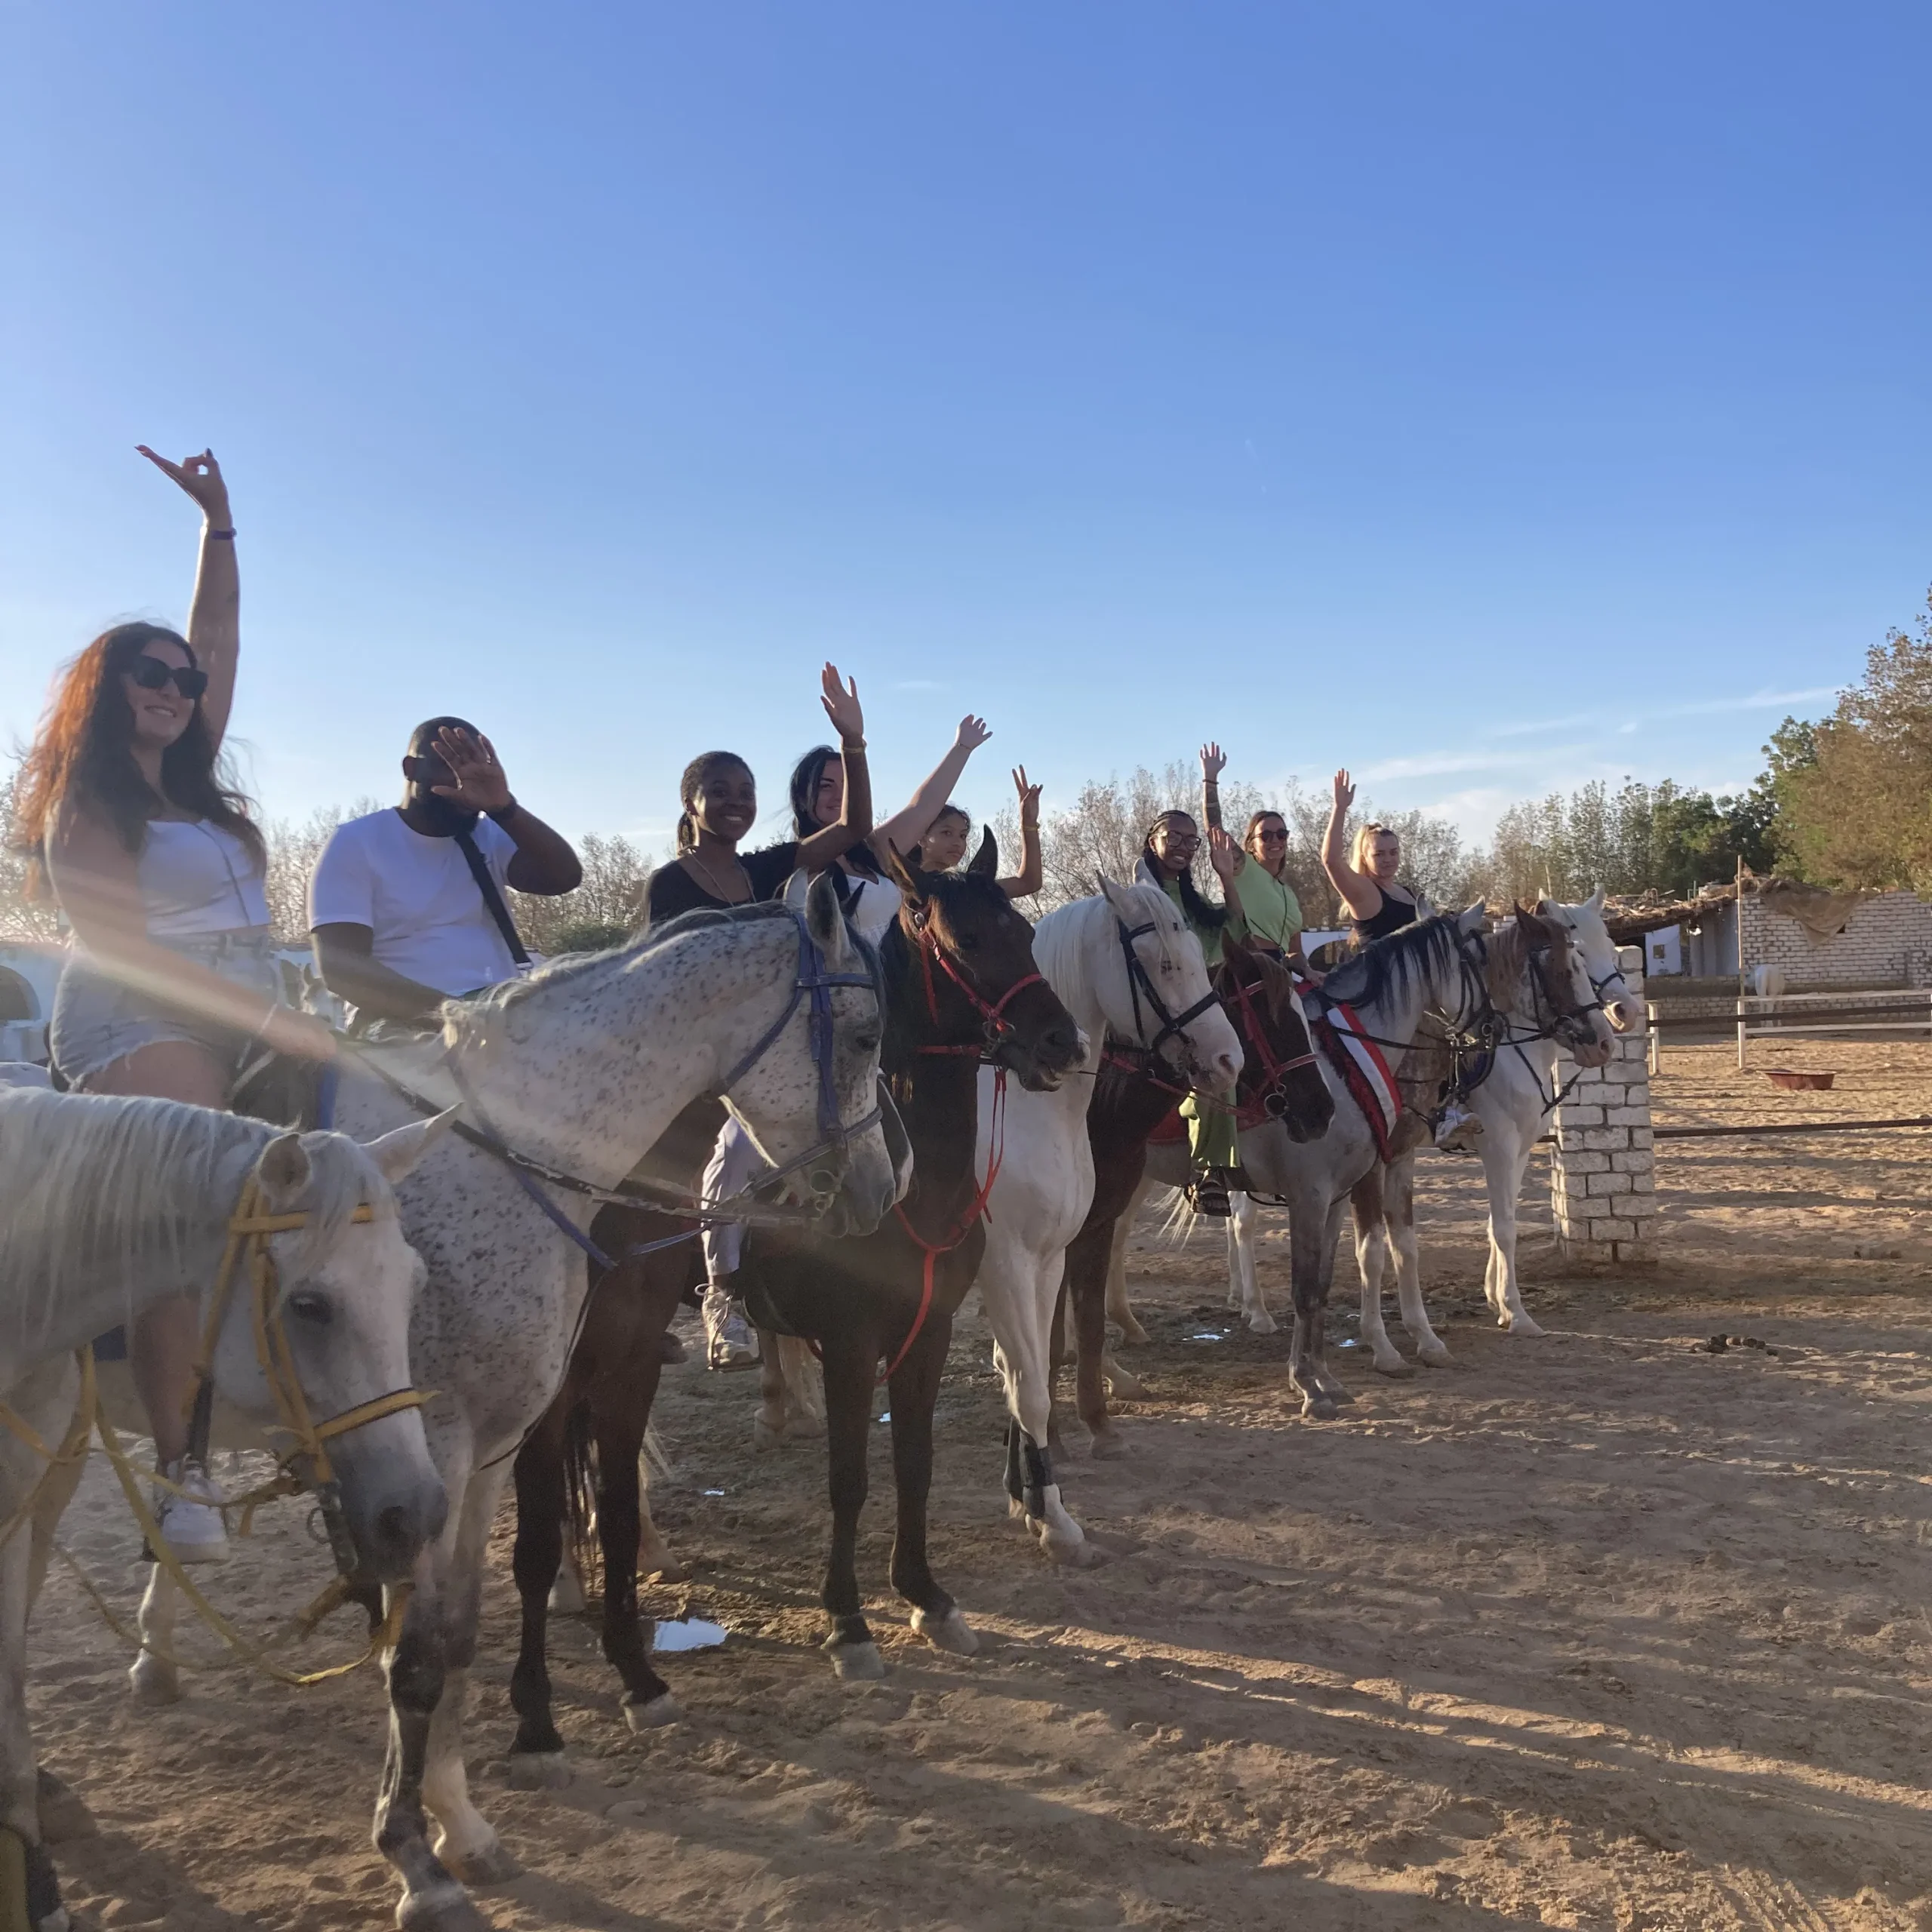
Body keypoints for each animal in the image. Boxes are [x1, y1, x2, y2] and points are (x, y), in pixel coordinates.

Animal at [125, 881, 896, 1932]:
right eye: (864, 1035)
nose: (881, 1191)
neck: (505, 1159)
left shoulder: (493, 1446)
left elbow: (458, 1634)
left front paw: (464, 1824)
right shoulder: (435, 1448)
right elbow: (420, 1651)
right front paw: (417, 1859)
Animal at [736, 837, 1083, 1681]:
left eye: (1026, 933)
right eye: (967, 941)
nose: (1061, 1042)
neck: (908, 1186)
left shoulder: (927, 1330)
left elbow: (914, 1462)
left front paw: (927, 1596)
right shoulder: (852, 1343)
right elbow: (850, 1478)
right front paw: (847, 1619)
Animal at [972, 880, 1244, 1565]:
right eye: (1166, 965)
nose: (1230, 1059)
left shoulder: (1056, 1250)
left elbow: (1037, 1361)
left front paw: (1032, 1497)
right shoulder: (1010, 1262)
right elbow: (1031, 1370)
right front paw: (1051, 1500)